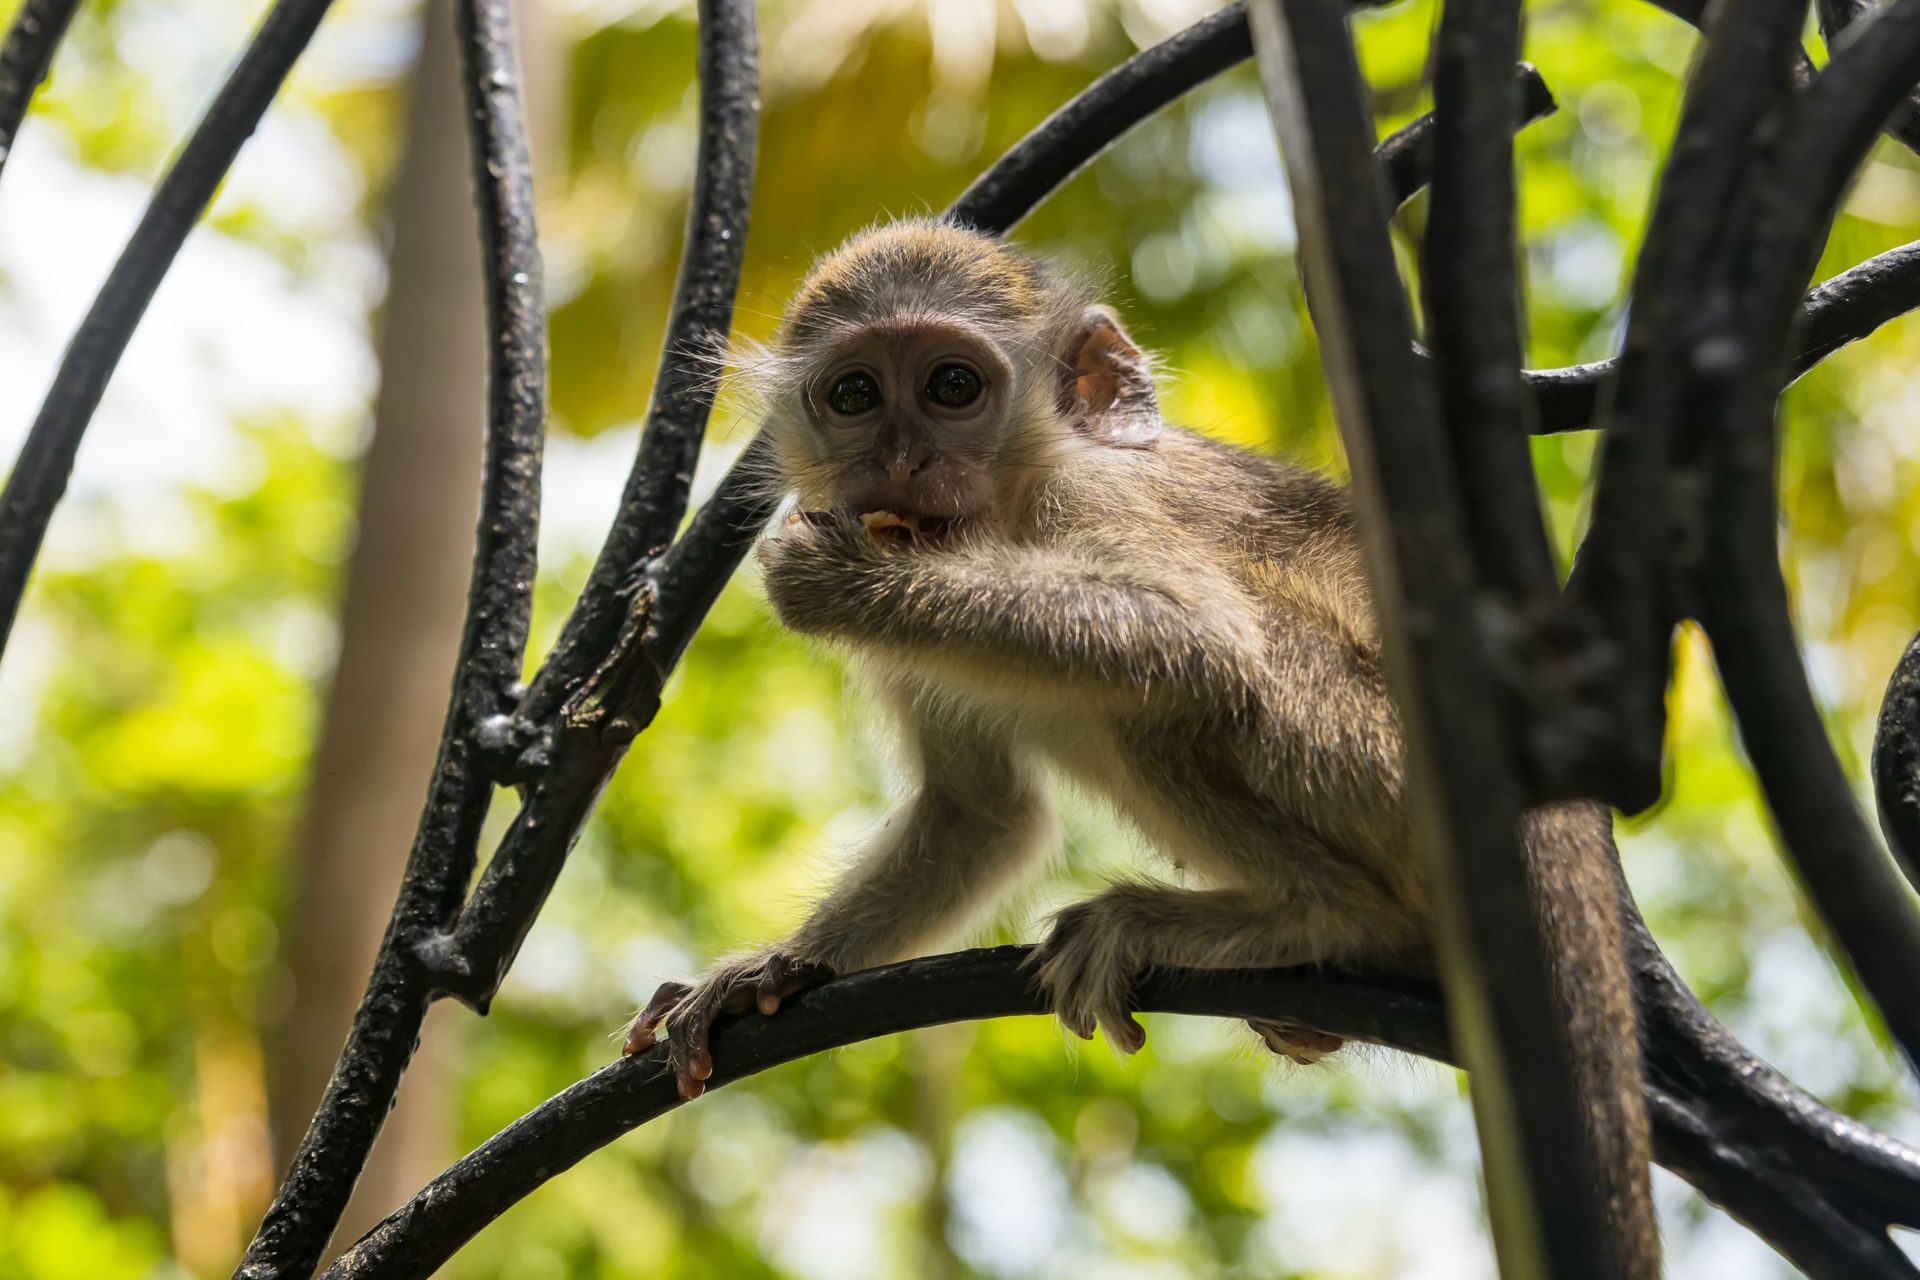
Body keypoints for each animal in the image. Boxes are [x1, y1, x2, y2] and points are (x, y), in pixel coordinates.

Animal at [623, 219, 1657, 1276]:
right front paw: (771, 976)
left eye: (953, 387)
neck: (1008, 512)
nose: (902, 461)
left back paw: (1332, 915)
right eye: (855, 396)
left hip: (1385, 760)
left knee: (1180, 700)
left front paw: (848, 585)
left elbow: (1196, 641)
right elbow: (979, 816)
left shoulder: (1093, 498)